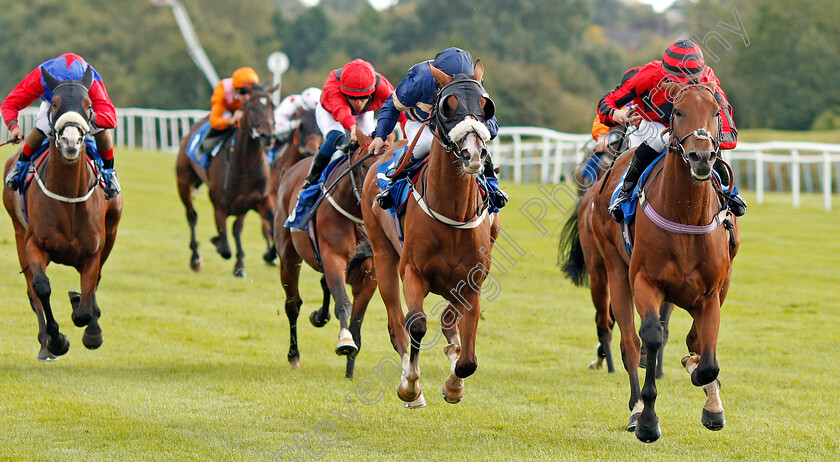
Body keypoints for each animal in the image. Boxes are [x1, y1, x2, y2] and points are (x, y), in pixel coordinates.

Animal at [1, 66, 123, 360]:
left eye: (88, 104)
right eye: (55, 103)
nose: (70, 140)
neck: (68, 197)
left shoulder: (93, 251)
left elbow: (84, 307)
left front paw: (91, 329)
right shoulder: (34, 243)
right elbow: (41, 287)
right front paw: (56, 339)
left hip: (112, 230)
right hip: (18, 232)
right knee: (32, 291)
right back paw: (46, 344)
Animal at [176, 83, 278, 276]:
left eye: (272, 107)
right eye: (251, 107)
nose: (267, 136)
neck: (245, 165)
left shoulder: (257, 200)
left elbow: (267, 223)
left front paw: (261, 257)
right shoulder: (220, 206)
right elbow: (225, 248)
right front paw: (217, 242)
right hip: (184, 181)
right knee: (192, 216)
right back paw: (195, 258)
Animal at [276, 131, 378, 378]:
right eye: (365, 165)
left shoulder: (371, 273)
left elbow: (357, 320)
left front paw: (350, 371)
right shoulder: (333, 258)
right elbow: (343, 303)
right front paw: (345, 342)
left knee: (323, 285)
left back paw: (319, 316)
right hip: (288, 258)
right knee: (292, 305)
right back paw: (294, 355)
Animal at [354, 62, 498, 408]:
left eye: (485, 105)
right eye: (449, 105)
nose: (474, 154)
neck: (453, 213)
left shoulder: (472, 282)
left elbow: (468, 359)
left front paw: (454, 385)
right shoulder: (412, 272)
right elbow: (416, 323)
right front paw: (410, 385)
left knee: (447, 319)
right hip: (383, 257)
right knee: (397, 324)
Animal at [560, 82, 740, 440]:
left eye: (716, 112)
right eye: (678, 111)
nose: (701, 157)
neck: (686, 215)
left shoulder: (712, 290)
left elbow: (706, 355)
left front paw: (711, 402)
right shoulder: (645, 280)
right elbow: (652, 336)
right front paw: (647, 419)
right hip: (610, 269)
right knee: (625, 338)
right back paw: (634, 405)